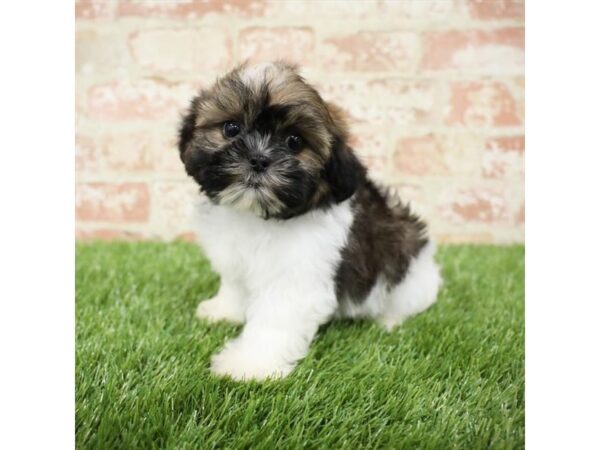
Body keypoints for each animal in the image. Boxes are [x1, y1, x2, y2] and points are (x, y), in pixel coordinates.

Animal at [178, 61, 440, 382]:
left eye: (294, 141)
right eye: (231, 128)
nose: (258, 159)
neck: (260, 216)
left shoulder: (296, 279)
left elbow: (274, 322)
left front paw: (248, 364)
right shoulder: (236, 259)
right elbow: (235, 285)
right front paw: (224, 311)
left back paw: (388, 320)